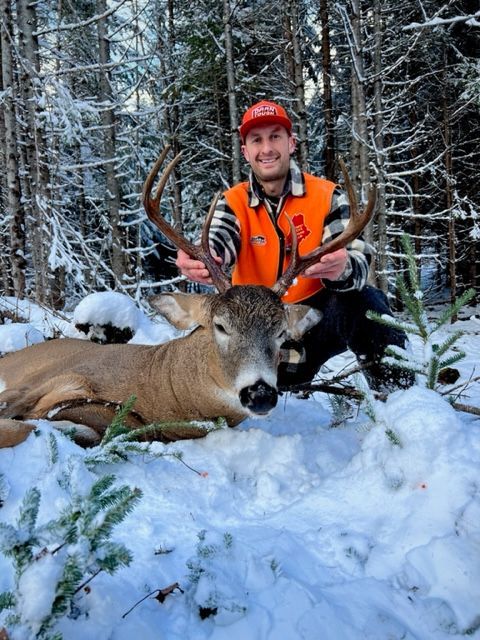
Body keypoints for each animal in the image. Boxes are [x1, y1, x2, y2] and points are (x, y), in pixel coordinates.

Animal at [0, 147, 376, 448]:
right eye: (220, 326)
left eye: (282, 334)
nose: (260, 393)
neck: (154, 385)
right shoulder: (45, 379)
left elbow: (51, 428)